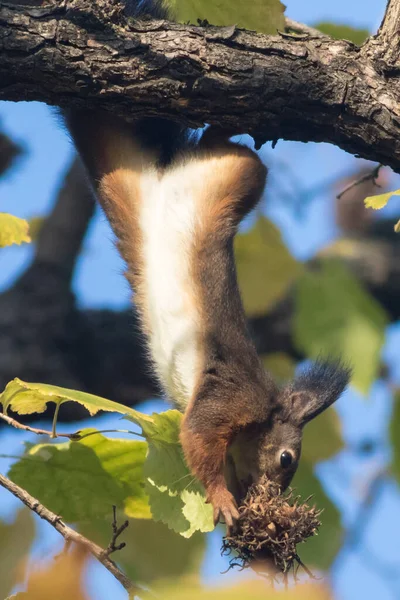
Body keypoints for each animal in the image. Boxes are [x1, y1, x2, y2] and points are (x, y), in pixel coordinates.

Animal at [62, 0, 350, 528]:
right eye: (287, 459)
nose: (269, 496)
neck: (261, 414)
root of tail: (161, 178)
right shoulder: (230, 397)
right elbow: (197, 436)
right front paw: (222, 500)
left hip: (140, 186)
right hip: (234, 177)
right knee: (227, 152)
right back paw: (224, 125)